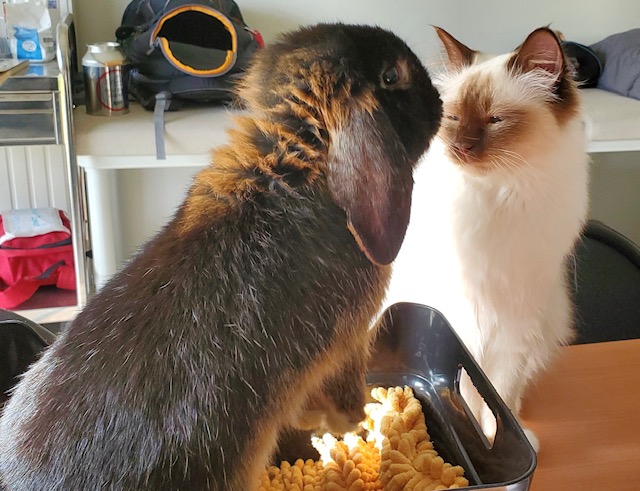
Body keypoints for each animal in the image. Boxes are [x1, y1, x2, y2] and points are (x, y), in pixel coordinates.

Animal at [0, 23, 442, 491]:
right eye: (391, 77)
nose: (439, 99)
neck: (294, 160)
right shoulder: (348, 345)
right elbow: (343, 395)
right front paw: (354, 423)